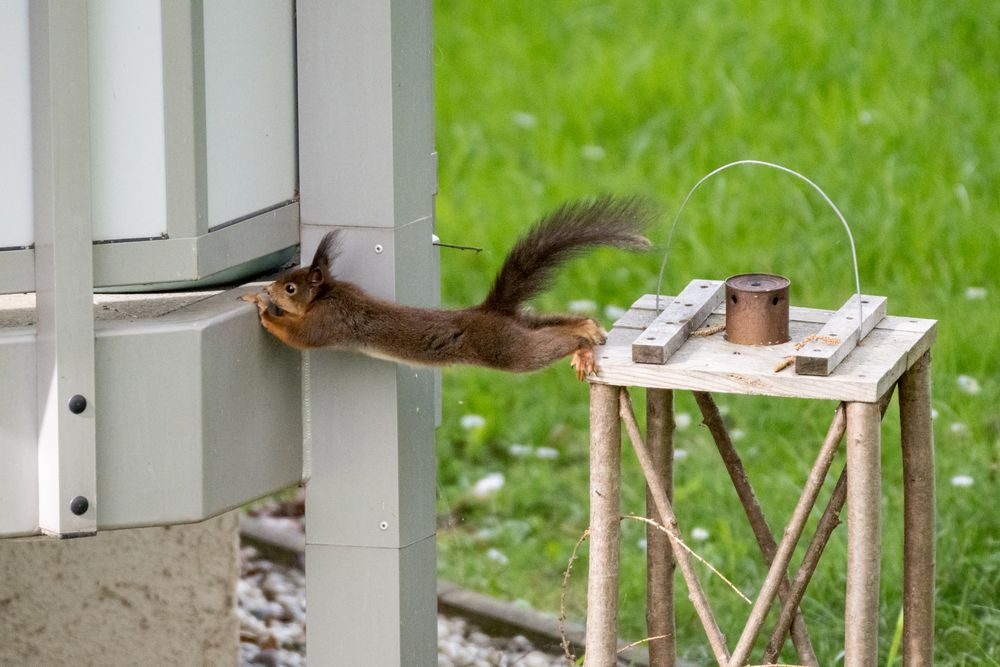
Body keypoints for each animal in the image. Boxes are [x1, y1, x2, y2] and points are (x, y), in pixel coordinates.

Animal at [245, 196, 652, 378]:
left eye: (291, 288)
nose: (273, 288)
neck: (328, 293)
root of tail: (490, 312)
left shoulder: (330, 320)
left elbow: (301, 336)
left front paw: (265, 310)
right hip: (519, 327)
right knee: (553, 324)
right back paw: (588, 327)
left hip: (506, 349)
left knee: (544, 347)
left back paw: (582, 347)